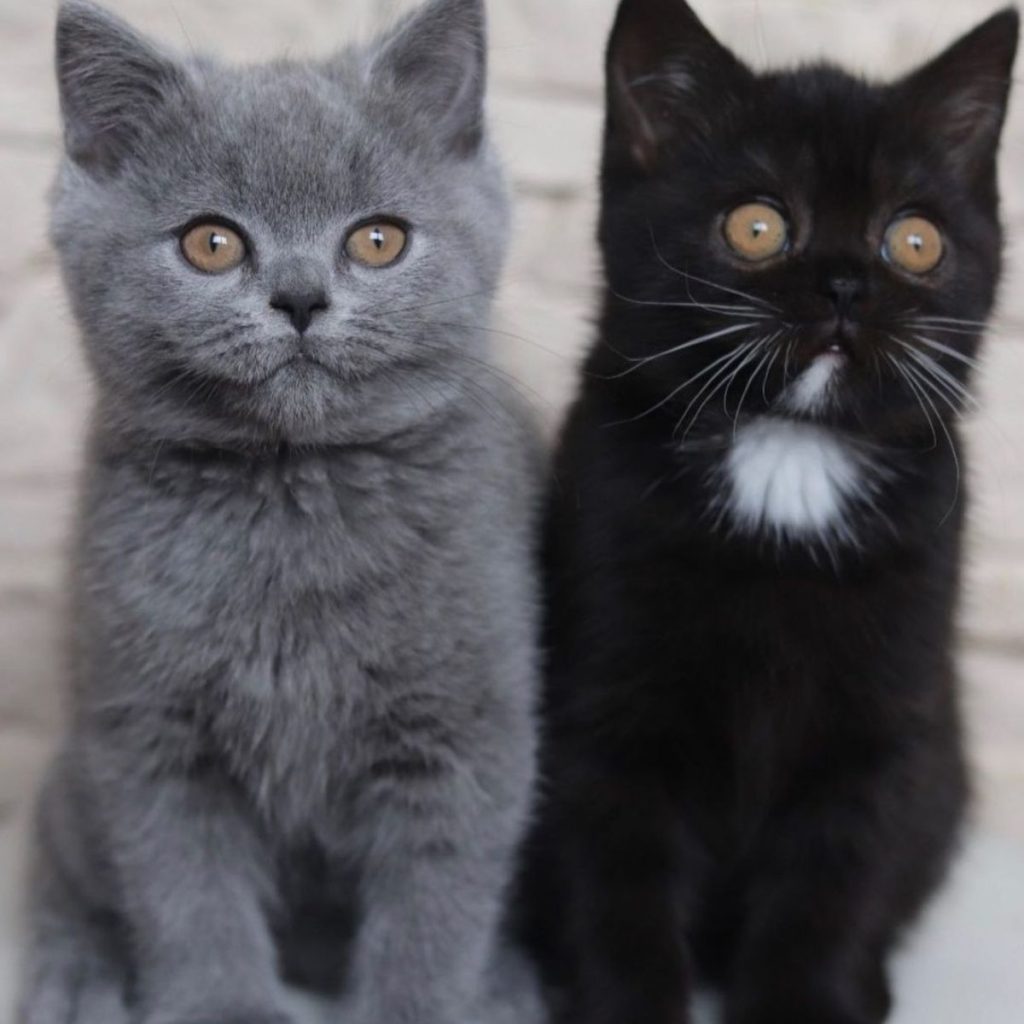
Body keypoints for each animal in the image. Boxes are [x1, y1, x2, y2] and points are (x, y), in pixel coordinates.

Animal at [18, 2, 544, 1024]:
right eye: (211, 243)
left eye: (377, 240)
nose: (300, 296)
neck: (294, 499)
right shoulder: (148, 732)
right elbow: (188, 897)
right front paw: (223, 1006)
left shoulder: (463, 731)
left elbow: (436, 912)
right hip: (75, 764)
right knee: (59, 851)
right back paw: (71, 972)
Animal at [524, 2, 1019, 1024]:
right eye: (757, 227)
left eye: (915, 241)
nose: (844, 284)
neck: (788, 457)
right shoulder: (602, 702)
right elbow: (613, 881)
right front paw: (623, 999)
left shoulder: (885, 720)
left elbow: (833, 884)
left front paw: (814, 997)